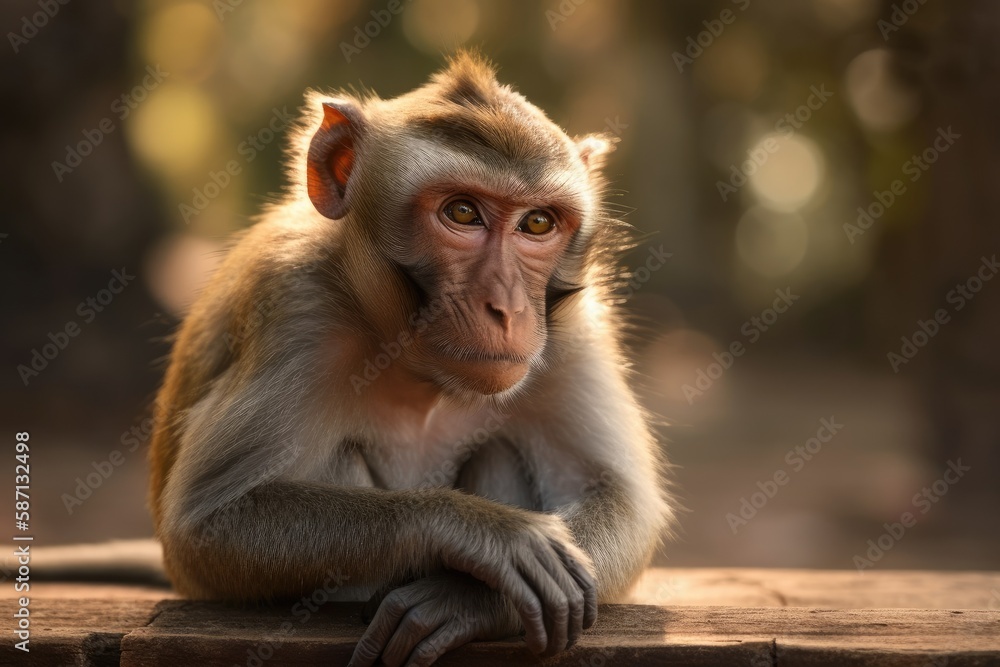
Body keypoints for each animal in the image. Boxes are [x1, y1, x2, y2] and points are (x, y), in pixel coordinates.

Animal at [148, 51, 673, 667]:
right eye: (462, 213)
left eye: (538, 223)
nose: (507, 308)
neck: (419, 365)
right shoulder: (295, 308)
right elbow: (206, 524)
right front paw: (484, 531)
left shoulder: (573, 334)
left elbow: (618, 498)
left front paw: (467, 601)